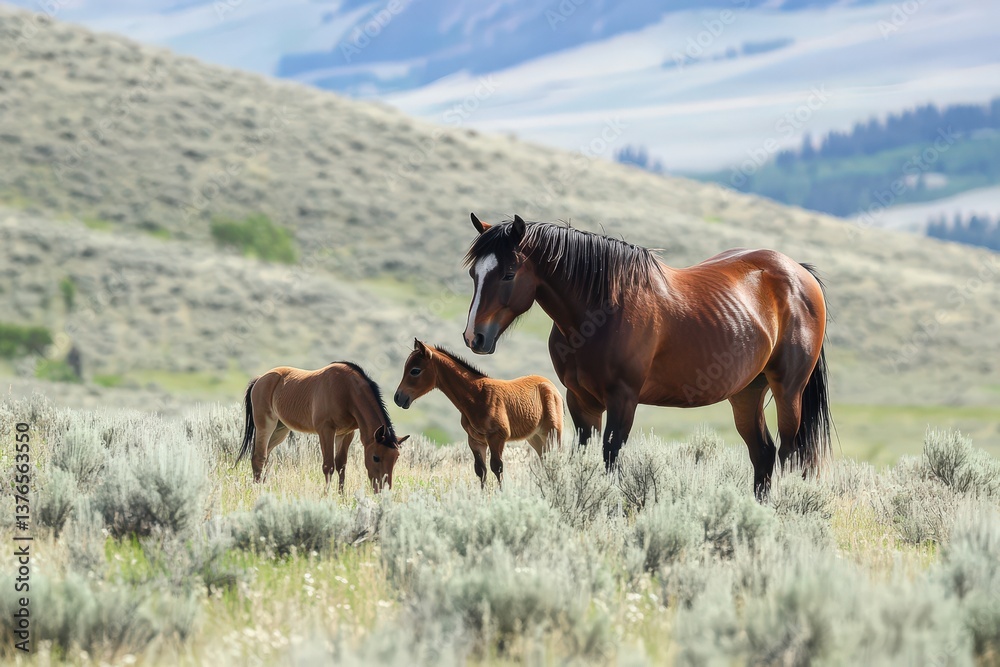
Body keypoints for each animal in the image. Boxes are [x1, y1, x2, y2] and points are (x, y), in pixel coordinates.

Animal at [235, 361, 409, 492]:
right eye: (376, 457)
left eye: (396, 458)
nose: (384, 490)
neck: (346, 391)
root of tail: (260, 379)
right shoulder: (326, 431)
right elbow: (328, 466)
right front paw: (326, 496)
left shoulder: (346, 434)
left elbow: (341, 466)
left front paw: (341, 496)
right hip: (265, 426)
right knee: (259, 457)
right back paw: (257, 490)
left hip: (280, 430)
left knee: (263, 456)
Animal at [393, 339, 564, 487]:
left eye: (415, 371)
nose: (398, 398)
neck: (477, 396)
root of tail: (552, 387)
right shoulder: (475, 440)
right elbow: (481, 471)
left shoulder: (497, 438)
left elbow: (497, 467)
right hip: (535, 437)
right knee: (545, 459)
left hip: (552, 432)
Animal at [462, 213, 831, 498]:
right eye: (474, 273)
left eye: (508, 273)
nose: (474, 337)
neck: (602, 309)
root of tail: (799, 272)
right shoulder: (580, 400)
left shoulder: (623, 399)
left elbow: (611, 457)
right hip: (747, 392)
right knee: (763, 454)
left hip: (788, 391)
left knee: (789, 455)